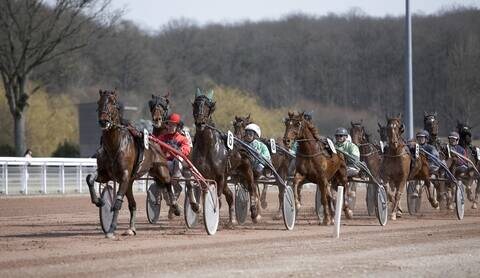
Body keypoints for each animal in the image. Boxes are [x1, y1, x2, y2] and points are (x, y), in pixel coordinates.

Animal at [87, 89, 173, 239]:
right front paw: (99, 201)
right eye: (99, 102)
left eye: (113, 103)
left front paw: (111, 230)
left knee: (168, 182)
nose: (103, 121)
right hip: (130, 183)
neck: (115, 145)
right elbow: (90, 178)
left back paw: (176, 207)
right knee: (133, 204)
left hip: (160, 169)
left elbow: (117, 203)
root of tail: (155, 141)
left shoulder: (124, 176)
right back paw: (131, 228)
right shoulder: (105, 174)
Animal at [190, 90, 260, 225]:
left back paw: (255, 213)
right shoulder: (200, 174)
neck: (207, 147)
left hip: (246, 169)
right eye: (195, 105)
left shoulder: (220, 176)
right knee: (230, 195)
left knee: (252, 187)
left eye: (208, 106)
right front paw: (197, 207)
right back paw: (232, 220)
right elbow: (194, 187)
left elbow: (216, 197)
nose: (200, 123)